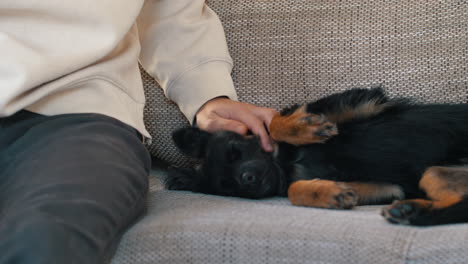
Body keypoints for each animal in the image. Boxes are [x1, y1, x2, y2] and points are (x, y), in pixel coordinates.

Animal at [165, 87, 468, 226]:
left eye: (234, 151)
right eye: (228, 186)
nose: (247, 178)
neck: (287, 163)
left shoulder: (364, 100)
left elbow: (273, 121)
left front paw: (303, 128)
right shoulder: (390, 187)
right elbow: (294, 190)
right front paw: (328, 193)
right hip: (433, 172)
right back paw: (410, 211)